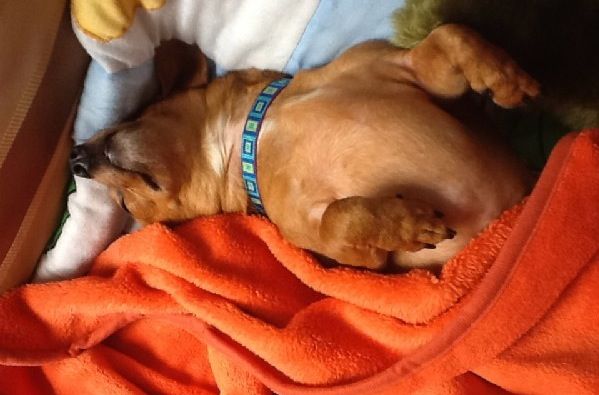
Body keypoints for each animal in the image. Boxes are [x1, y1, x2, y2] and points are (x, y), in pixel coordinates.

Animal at [70, 25, 540, 272]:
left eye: (130, 117)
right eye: (124, 206)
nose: (76, 158)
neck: (254, 132)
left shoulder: (409, 69)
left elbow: (449, 35)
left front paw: (503, 77)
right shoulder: (346, 251)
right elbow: (340, 218)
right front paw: (408, 222)